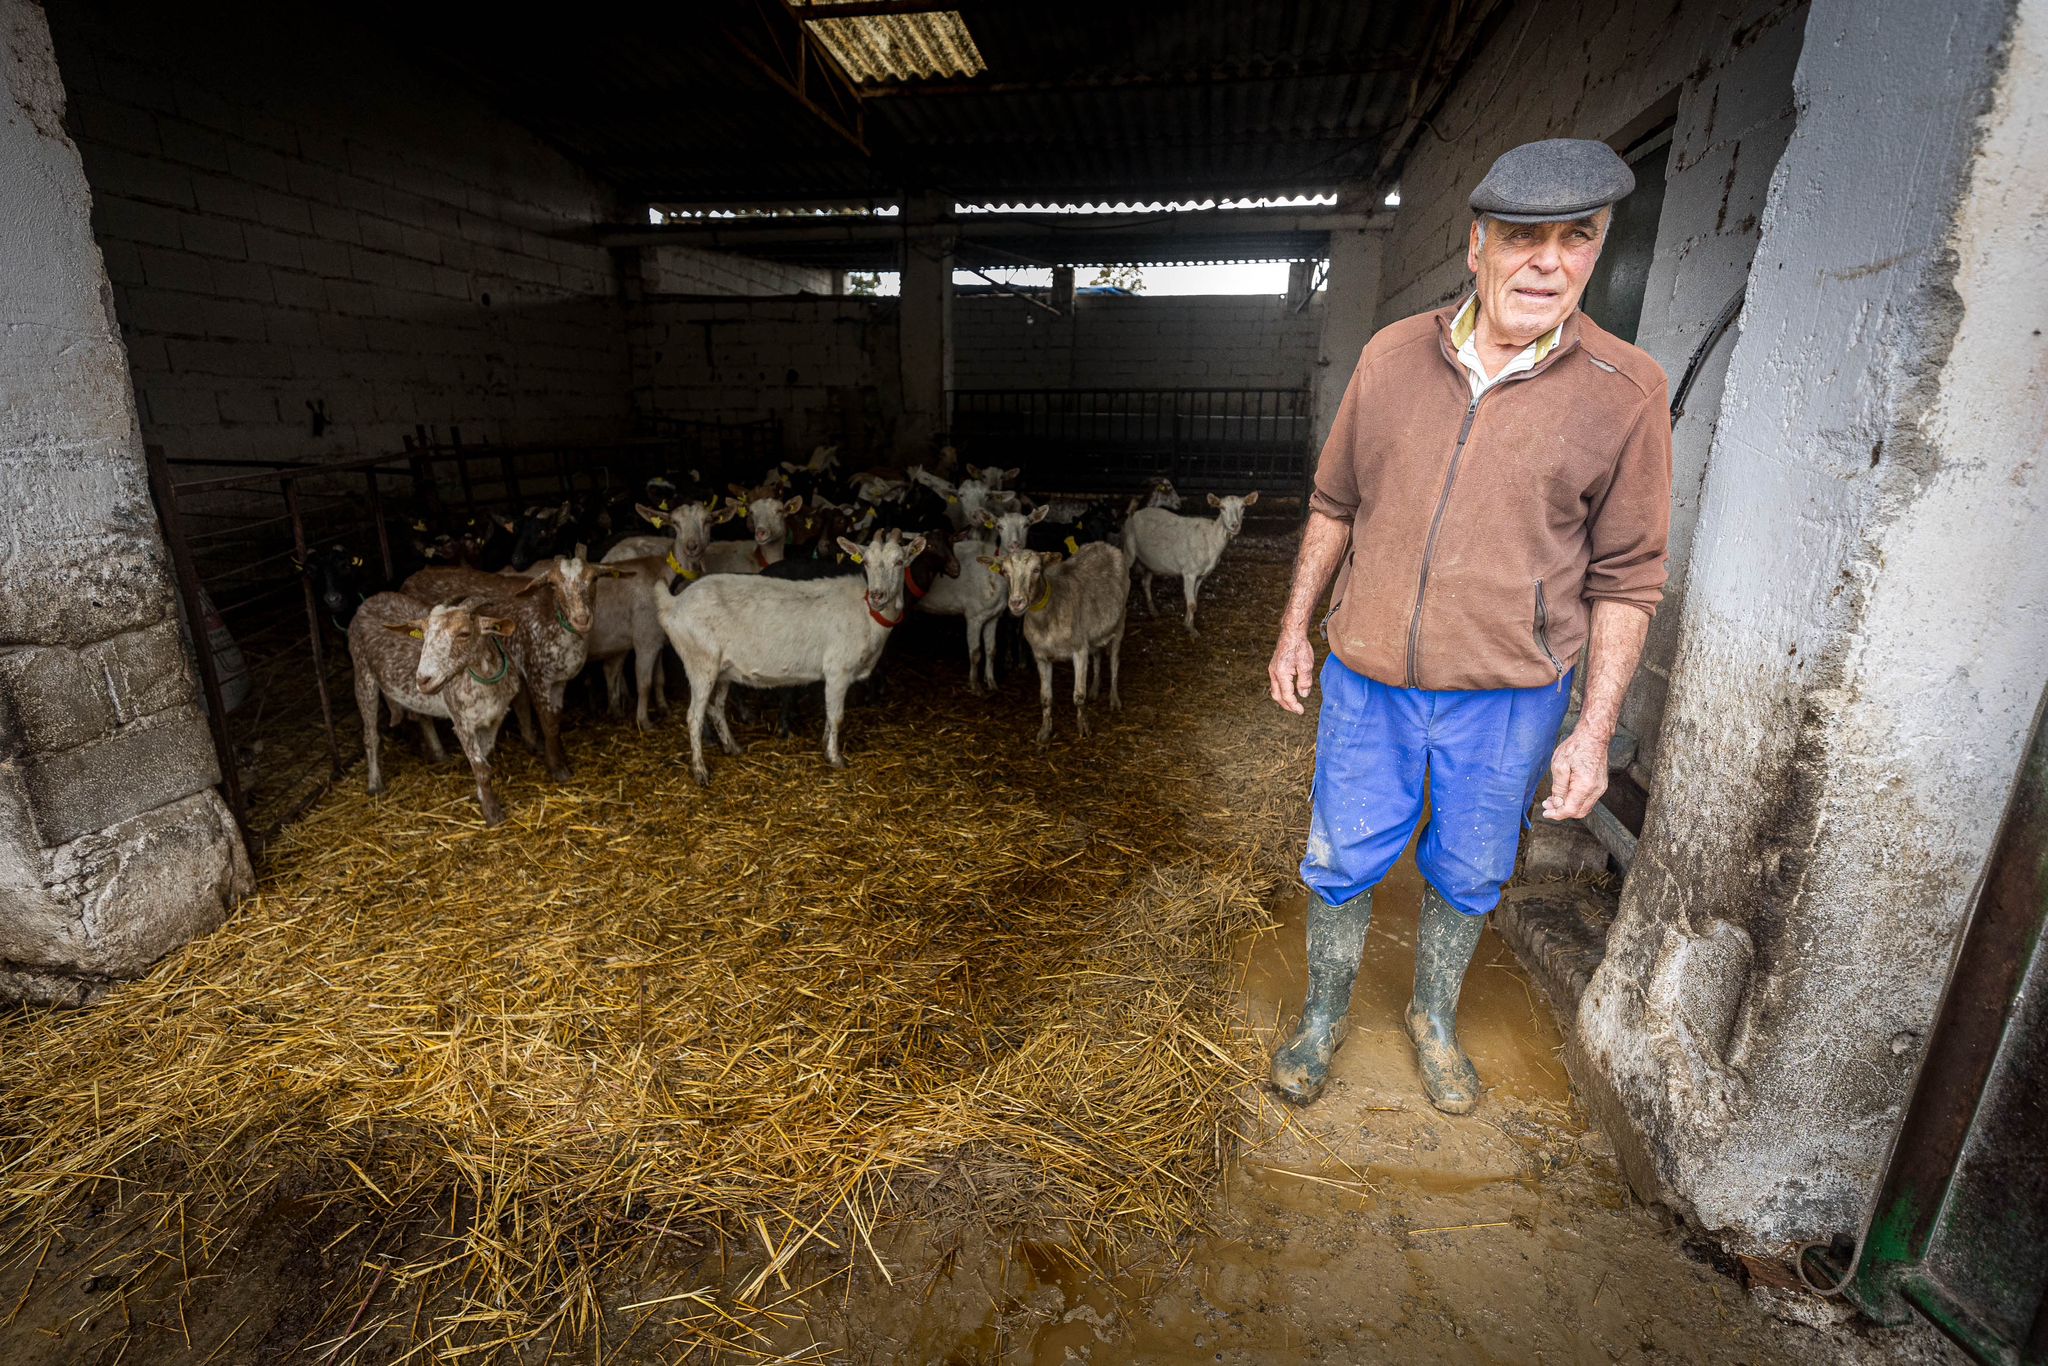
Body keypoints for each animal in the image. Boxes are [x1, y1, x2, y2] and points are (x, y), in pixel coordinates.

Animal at [346, 593, 524, 823]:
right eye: (423, 635)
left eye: (464, 633)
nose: (423, 679)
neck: (485, 682)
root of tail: (369, 601)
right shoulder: (462, 722)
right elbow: (481, 769)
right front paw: (493, 815)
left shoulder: (496, 716)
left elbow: (486, 758)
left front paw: (481, 796)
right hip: (362, 673)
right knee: (371, 735)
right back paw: (375, 785)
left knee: (421, 716)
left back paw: (438, 754)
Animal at [663, 532, 929, 790]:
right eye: (866, 562)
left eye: (899, 562)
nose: (877, 596)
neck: (867, 613)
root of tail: (674, 605)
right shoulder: (838, 671)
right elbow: (836, 716)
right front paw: (835, 758)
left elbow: (829, 715)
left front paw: (824, 744)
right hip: (700, 662)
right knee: (694, 716)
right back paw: (700, 772)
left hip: (722, 670)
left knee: (716, 708)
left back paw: (733, 747)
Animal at [978, 540, 1130, 741]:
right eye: (1004, 571)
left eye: (1036, 570)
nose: (1016, 602)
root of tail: (1104, 544)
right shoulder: (1041, 656)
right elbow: (1045, 697)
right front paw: (1044, 732)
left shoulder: (1079, 649)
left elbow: (1078, 696)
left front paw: (1084, 729)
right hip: (1095, 630)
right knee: (1097, 655)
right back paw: (1095, 690)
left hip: (1120, 621)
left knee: (1114, 661)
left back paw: (1114, 700)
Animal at [1122, 493, 1245, 638]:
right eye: (1222, 508)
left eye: (1243, 507)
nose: (1234, 525)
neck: (1211, 538)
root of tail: (1133, 514)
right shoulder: (1189, 572)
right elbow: (1192, 604)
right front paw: (1192, 630)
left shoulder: (1201, 575)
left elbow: (1194, 601)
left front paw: (1187, 623)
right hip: (1128, 548)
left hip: (1150, 561)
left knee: (1145, 582)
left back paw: (1153, 611)